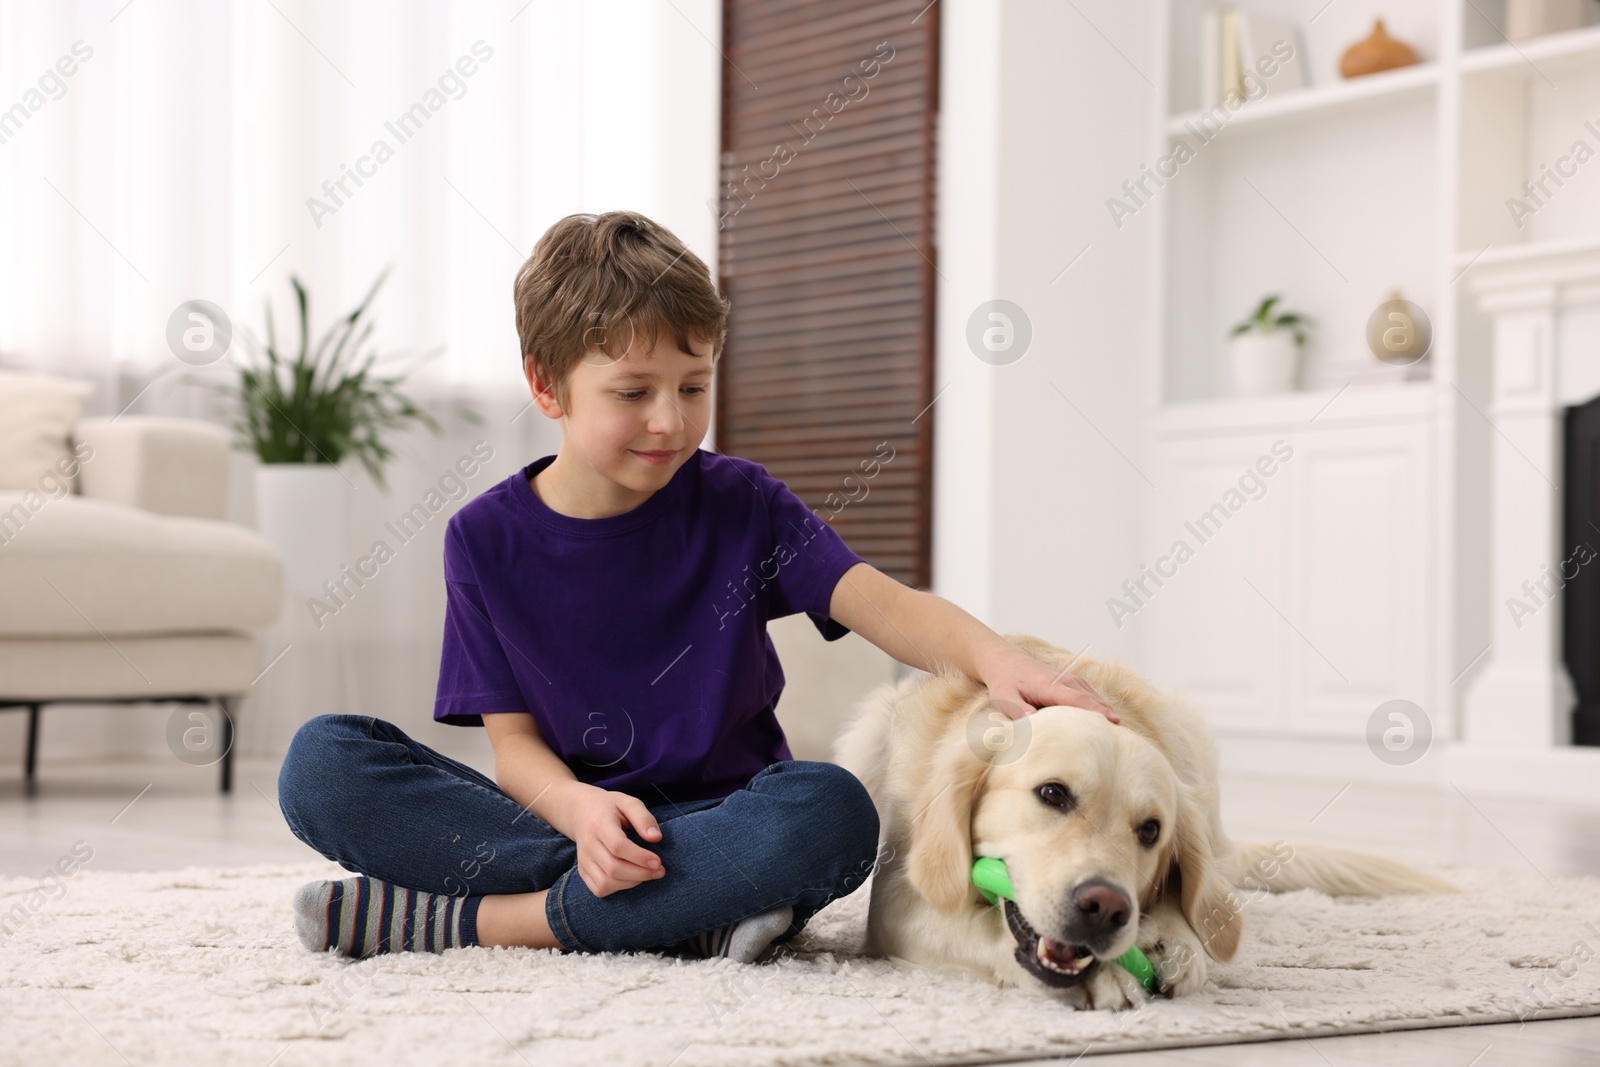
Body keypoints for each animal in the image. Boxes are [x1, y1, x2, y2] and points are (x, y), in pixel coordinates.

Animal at [832, 633, 1459, 1011]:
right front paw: (1106, 975)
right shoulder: (898, 905)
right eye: (1052, 794)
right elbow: (976, 928)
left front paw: (1172, 941)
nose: (1105, 907)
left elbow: (1194, 917)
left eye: (1151, 830)